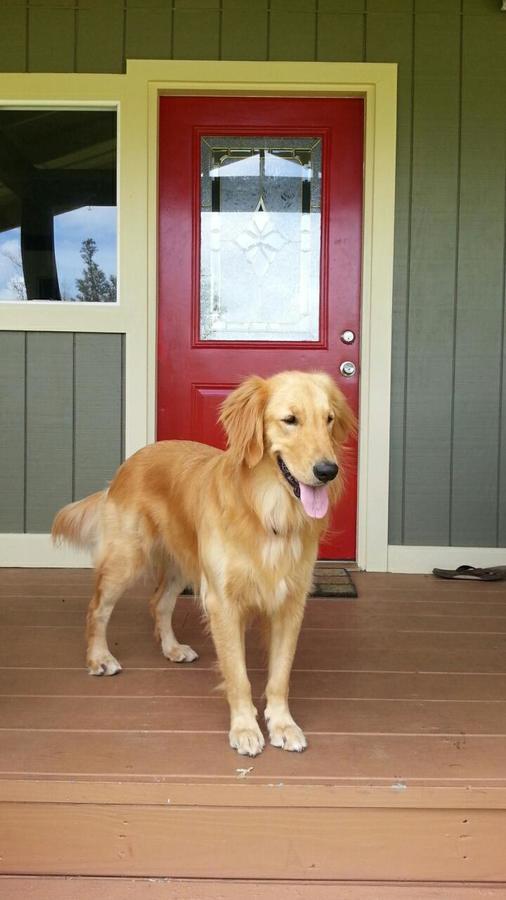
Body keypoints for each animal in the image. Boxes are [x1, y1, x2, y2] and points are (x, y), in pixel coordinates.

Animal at [51, 370, 352, 756]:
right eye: (290, 420)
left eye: (329, 419)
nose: (328, 470)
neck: (266, 511)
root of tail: (129, 462)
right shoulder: (223, 602)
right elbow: (237, 675)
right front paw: (245, 728)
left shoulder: (290, 602)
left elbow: (280, 675)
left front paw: (283, 725)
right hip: (126, 558)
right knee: (97, 609)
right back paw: (98, 658)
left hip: (181, 563)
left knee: (158, 602)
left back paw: (172, 648)